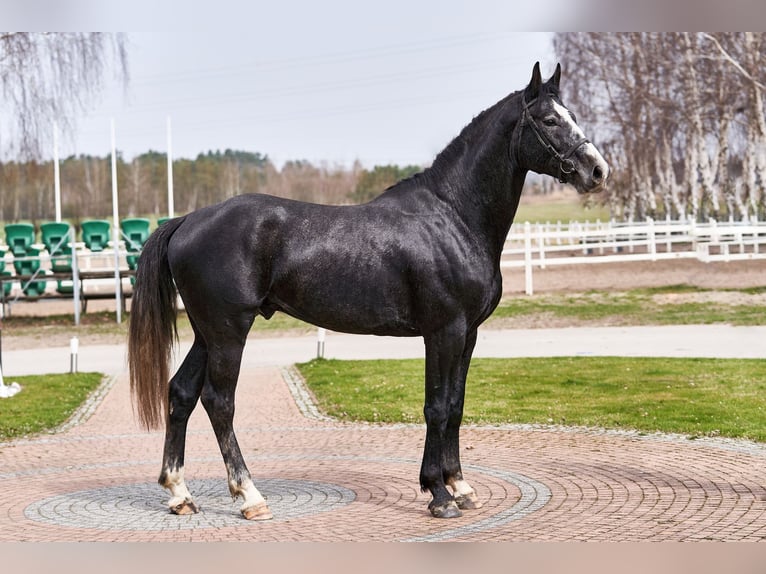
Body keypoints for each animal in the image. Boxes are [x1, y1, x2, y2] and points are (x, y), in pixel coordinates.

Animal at [130, 62, 612, 520]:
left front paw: (461, 487)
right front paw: (438, 495)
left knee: (181, 393)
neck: (454, 216)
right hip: (229, 331)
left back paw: (180, 495)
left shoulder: (468, 334)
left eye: (572, 114)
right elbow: (436, 407)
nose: (598, 170)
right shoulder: (444, 331)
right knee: (219, 402)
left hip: (206, 333)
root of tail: (188, 221)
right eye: (549, 120)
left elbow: (455, 405)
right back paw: (250, 496)